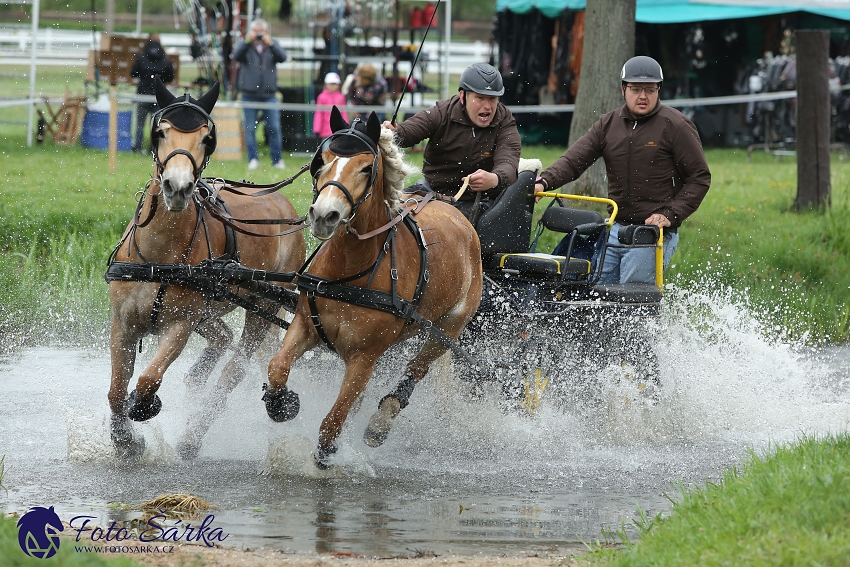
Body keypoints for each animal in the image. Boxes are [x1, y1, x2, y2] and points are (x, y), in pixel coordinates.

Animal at [105, 80, 304, 460]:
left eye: (206, 138)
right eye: (160, 132)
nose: (178, 187)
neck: (159, 256)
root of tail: (282, 203)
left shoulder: (180, 325)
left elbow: (148, 380)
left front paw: (144, 405)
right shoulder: (122, 323)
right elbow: (115, 390)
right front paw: (125, 440)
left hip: (262, 306)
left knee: (234, 368)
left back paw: (193, 434)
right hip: (210, 309)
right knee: (222, 339)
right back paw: (197, 380)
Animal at [258, 107, 484, 470]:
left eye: (366, 167)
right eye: (322, 161)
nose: (324, 214)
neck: (348, 272)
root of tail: (456, 211)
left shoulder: (363, 358)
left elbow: (333, 421)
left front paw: (326, 455)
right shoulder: (305, 325)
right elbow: (278, 367)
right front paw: (281, 403)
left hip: (448, 329)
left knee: (415, 370)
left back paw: (381, 422)